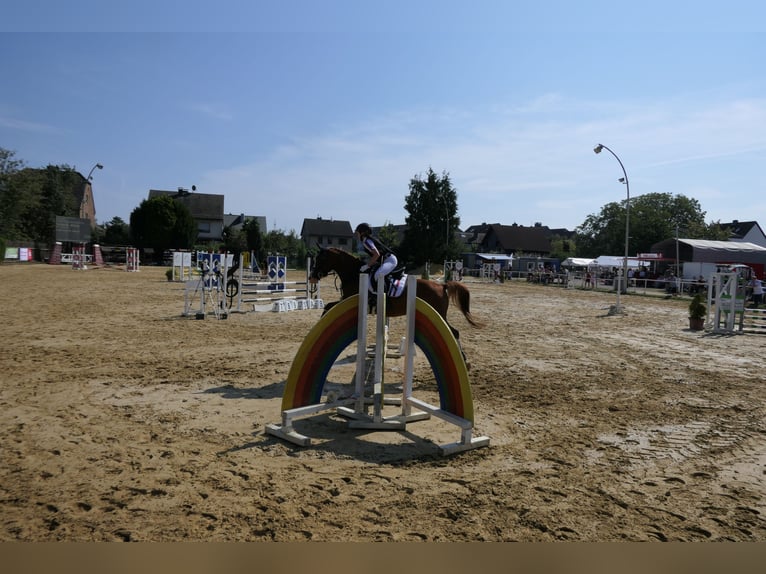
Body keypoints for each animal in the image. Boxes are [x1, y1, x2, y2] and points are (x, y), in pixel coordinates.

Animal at [308, 245, 484, 344]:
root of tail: (442, 285)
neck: (354, 273)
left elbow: (328, 307)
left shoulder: (350, 300)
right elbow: (328, 306)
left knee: (454, 332)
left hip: (439, 314)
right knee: (454, 332)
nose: (312, 277)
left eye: (321, 259)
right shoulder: (344, 300)